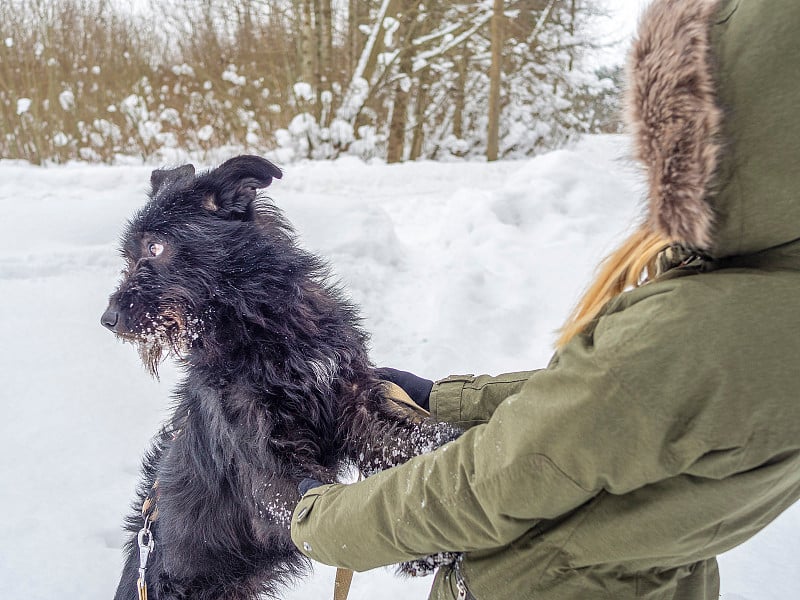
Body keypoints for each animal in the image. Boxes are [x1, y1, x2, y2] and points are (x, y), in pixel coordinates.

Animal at [103, 157, 460, 596]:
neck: (265, 331)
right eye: (128, 255)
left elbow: (405, 440)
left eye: (154, 247)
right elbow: (347, 510)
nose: (108, 319)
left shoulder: (356, 402)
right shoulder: (269, 466)